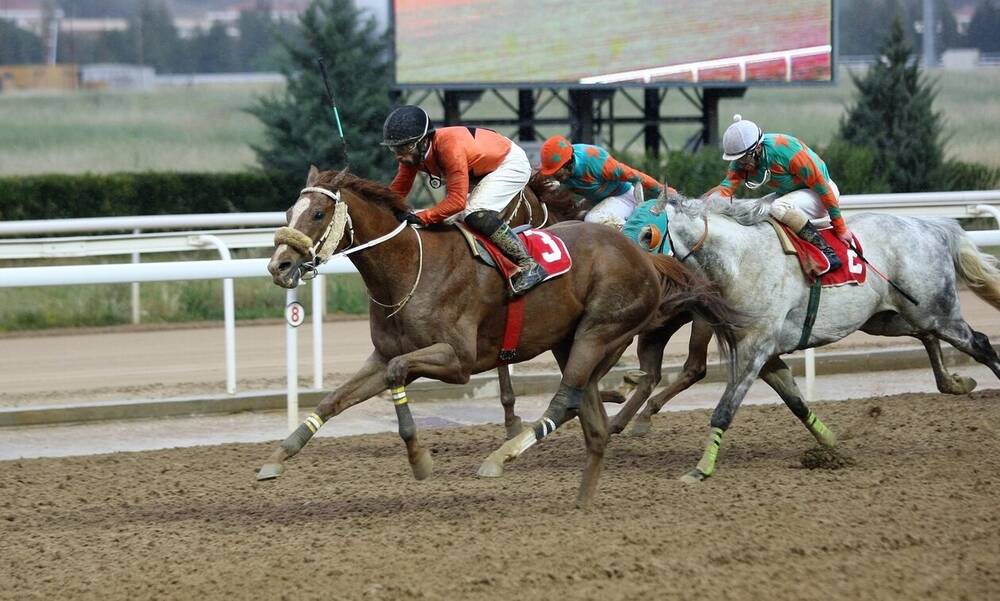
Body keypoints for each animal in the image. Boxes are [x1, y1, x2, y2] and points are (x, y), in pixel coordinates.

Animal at [258, 166, 744, 508]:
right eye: (287, 213)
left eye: (318, 213)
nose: (279, 266)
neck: (410, 268)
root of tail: (645, 255)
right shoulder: (383, 355)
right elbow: (334, 400)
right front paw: (277, 458)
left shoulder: (456, 360)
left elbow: (398, 375)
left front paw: (420, 459)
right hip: (573, 341)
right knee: (591, 416)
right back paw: (584, 497)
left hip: (600, 330)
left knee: (572, 399)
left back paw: (502, 458)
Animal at [612, 192, 1000, 482]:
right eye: (624, 227)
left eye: (648, 234)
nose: (622, 270)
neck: (741, 261)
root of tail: (934, 227)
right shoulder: (765, 353)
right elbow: (796, 402)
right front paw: (832, 445)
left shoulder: (755, 348)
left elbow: (724, 410)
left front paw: (700, 469)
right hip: (888, 318)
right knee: (927, 336)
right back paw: (954, 382)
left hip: (937, 310)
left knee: (979, 344)